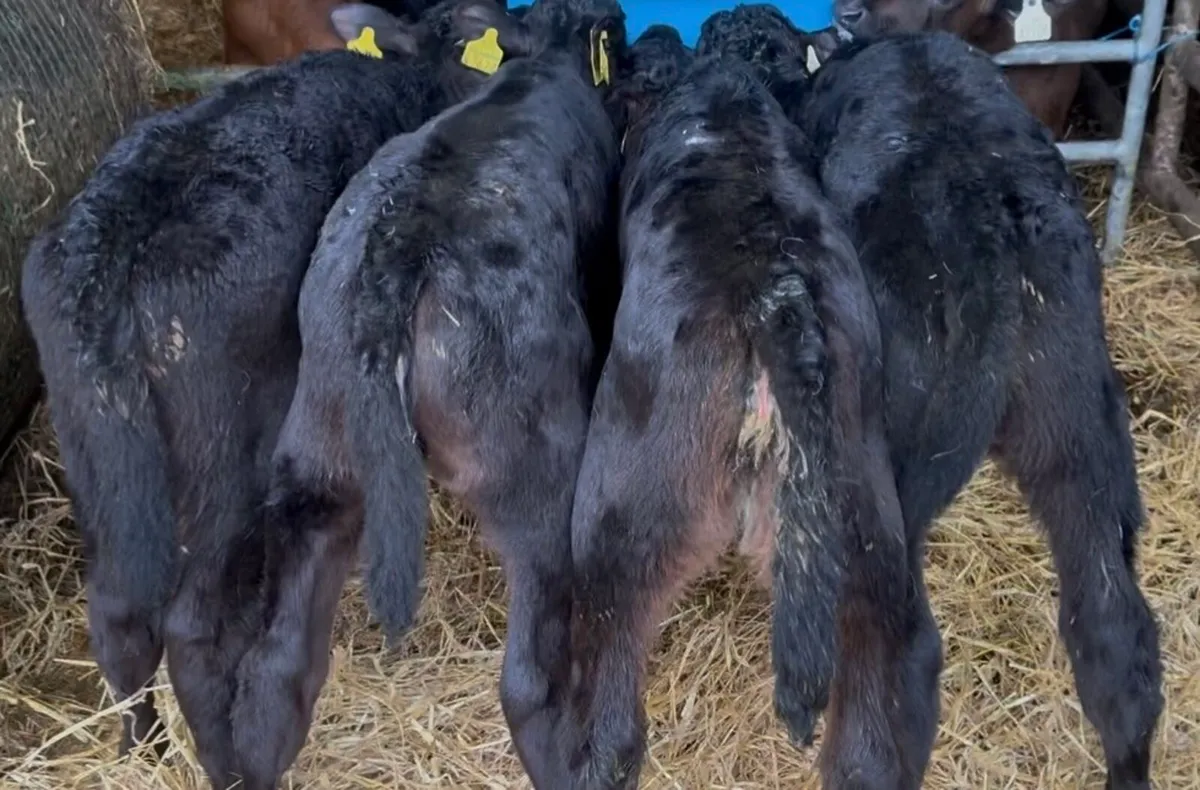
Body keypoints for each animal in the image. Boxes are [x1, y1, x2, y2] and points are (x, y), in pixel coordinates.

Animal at [19, 2, 516, 787]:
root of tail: (111, 241)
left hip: (94, 452)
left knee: (118, 611)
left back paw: (143, 750)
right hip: (223, 458)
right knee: (192, 626)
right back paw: (223, 764)